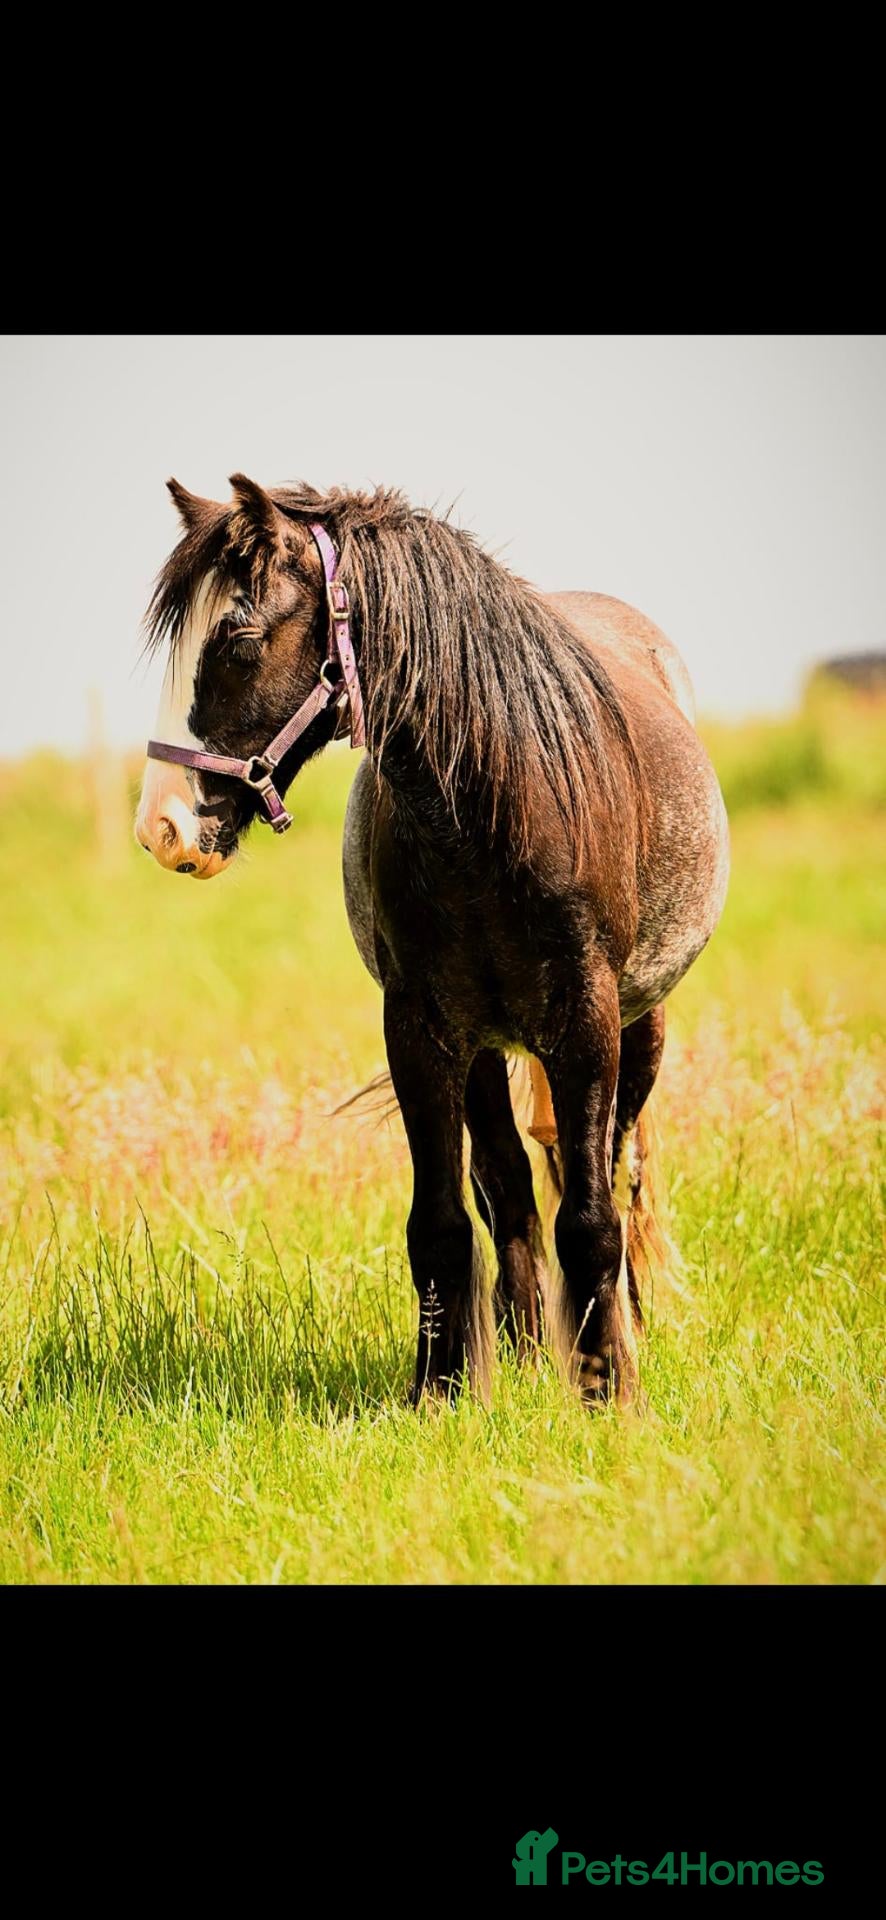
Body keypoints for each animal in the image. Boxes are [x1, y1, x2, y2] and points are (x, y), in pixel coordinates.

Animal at [135, 474, 729, 1406]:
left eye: (238, 638)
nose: (161, 827)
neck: (495, 808)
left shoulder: (589, 1023)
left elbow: (591, 1216)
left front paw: (607, 1391)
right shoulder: (421, 1028)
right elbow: (445, 1221)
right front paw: (444, 1391)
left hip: (641, 1027)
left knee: (617, 1170)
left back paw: (617, 1335)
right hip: (487, 1048)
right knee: (509, 1191)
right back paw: (526, 1354)